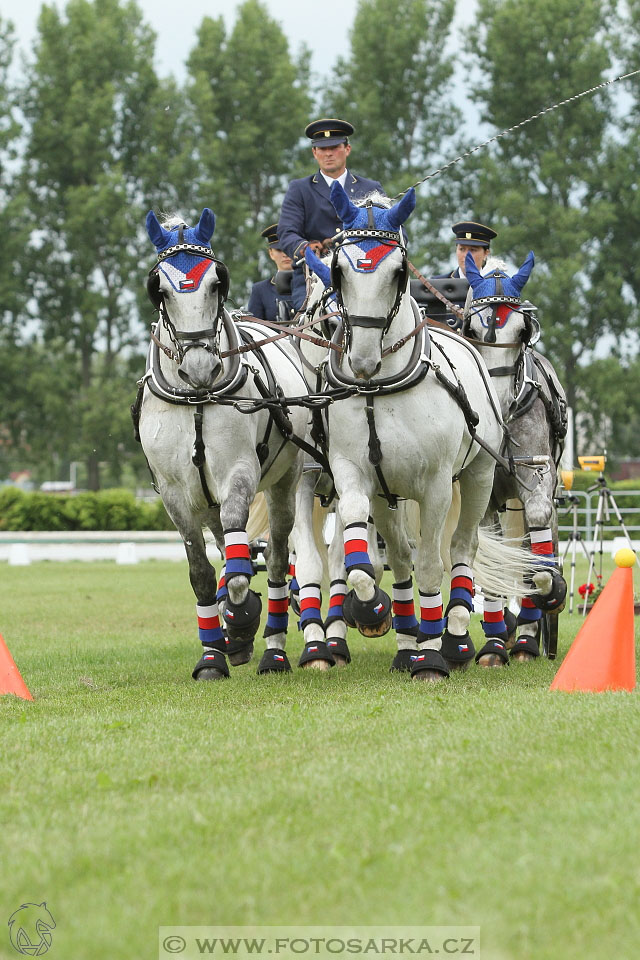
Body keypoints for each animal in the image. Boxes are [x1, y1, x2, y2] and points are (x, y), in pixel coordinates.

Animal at [138, 206, 318, 680]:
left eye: (217, 281)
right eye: (159, 288)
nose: (200, 367)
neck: (197, 398)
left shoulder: (238, 472)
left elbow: (239, 572)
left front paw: (239, 623)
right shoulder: (174, 493)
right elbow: (202, 573)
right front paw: (212, 656)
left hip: (284, 482)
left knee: (276, 559)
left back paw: (272, 648)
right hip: (207, 501)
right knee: (227, 545)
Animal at [298, 184, 536, 680]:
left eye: (398, 272)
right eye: (339, 270)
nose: (362, 359)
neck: (380, 386)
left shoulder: (437, 486)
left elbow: (431, 566)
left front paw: (434, 656)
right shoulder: (353, 474)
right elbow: (360, 563)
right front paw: (373, 611)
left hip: (478, 477)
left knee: (461, 549)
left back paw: (456, 640)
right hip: (390, 495)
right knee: (402, 556)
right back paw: (408, 641)